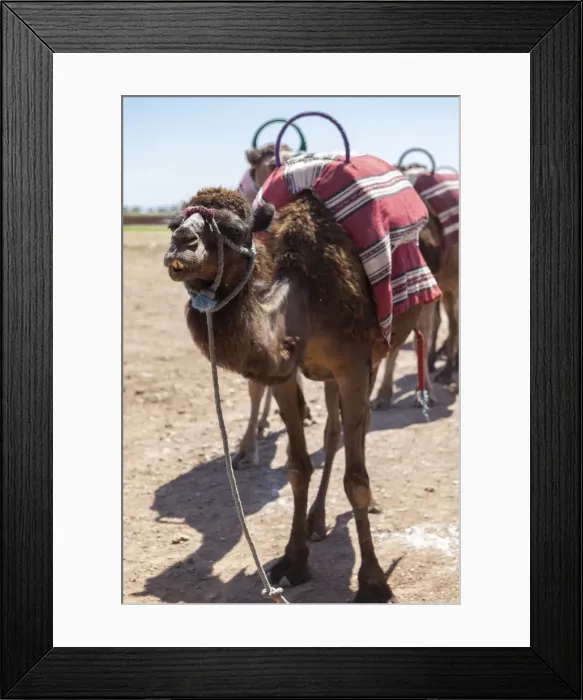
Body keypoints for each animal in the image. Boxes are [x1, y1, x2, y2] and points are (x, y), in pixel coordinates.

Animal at [164, 182, 430, 602]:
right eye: (174, 224)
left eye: (236, 229)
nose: (181, 245)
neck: (306, 299)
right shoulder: (287, 376)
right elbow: (297, 467)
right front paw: (293, 561)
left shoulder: (353, 365)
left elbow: (356, 480)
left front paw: (372, 582)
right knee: (335, 431)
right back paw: (316, 520)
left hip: (373, 356)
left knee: (359, 428)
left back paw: (363, 507)